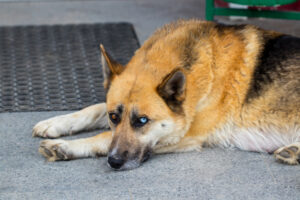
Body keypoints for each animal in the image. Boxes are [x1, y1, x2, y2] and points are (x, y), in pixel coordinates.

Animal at [31, 19, 298, 170]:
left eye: (142, 121)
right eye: (114, 117)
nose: (114, 162)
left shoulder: (184, 137)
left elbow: (104, 137)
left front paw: (65, 147)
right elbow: (94, 109)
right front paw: (55, 123)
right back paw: (293, 152)